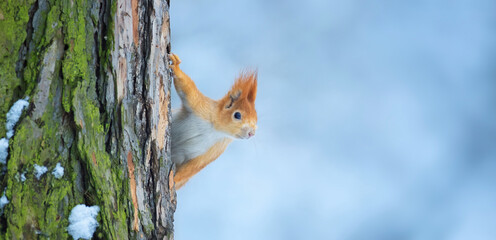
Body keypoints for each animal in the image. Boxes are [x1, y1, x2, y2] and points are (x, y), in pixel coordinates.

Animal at [169, 53, 258, 189]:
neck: (216, 130)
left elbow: (191, 169)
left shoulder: (212, 152)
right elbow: (188, 89)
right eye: (237, 115)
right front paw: (177, 67)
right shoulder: (201, 107)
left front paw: (172, 181)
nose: (251, 133)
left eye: (256, 120)